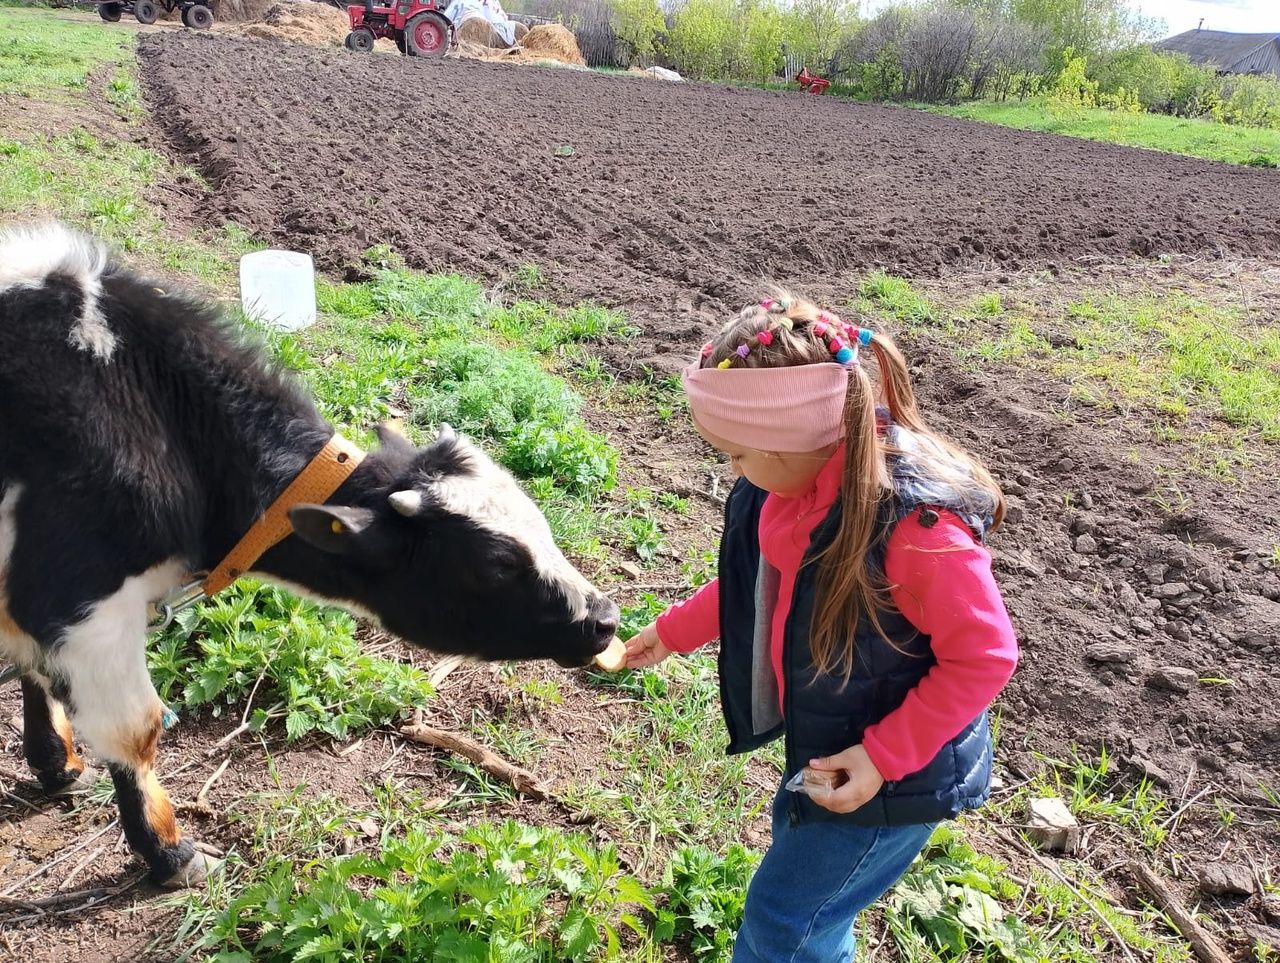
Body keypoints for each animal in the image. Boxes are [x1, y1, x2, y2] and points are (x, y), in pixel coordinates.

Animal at [0, 224, 619, 886]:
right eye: (497, 563)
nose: (605, 618)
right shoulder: (80, 599)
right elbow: (134, 729)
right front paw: (170, 851)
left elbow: (34, 669)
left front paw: (56, 763)